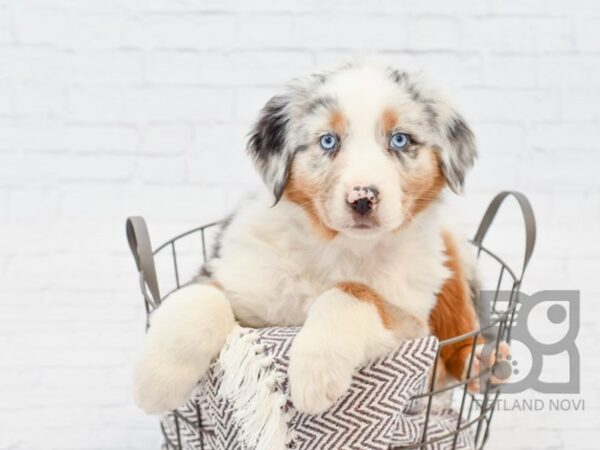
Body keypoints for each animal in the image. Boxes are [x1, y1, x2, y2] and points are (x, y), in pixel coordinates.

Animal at [135, 61, 482, 416]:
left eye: (399, 140)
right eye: (328, 141)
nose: (362, 198)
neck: (335, 247)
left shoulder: (413, 321)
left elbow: (352, 291)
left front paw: (316, 370)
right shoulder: (240, 281)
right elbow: (200, 296)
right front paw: (157, 381)